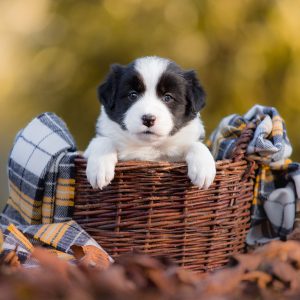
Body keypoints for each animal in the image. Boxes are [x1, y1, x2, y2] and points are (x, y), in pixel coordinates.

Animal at [84, 56, 216, 190]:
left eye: (168, 97)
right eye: (133, 95)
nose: (148, 119)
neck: (149, 147)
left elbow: (196, 145)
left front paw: (204, 170)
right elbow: (102, 141)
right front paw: (99, 169)